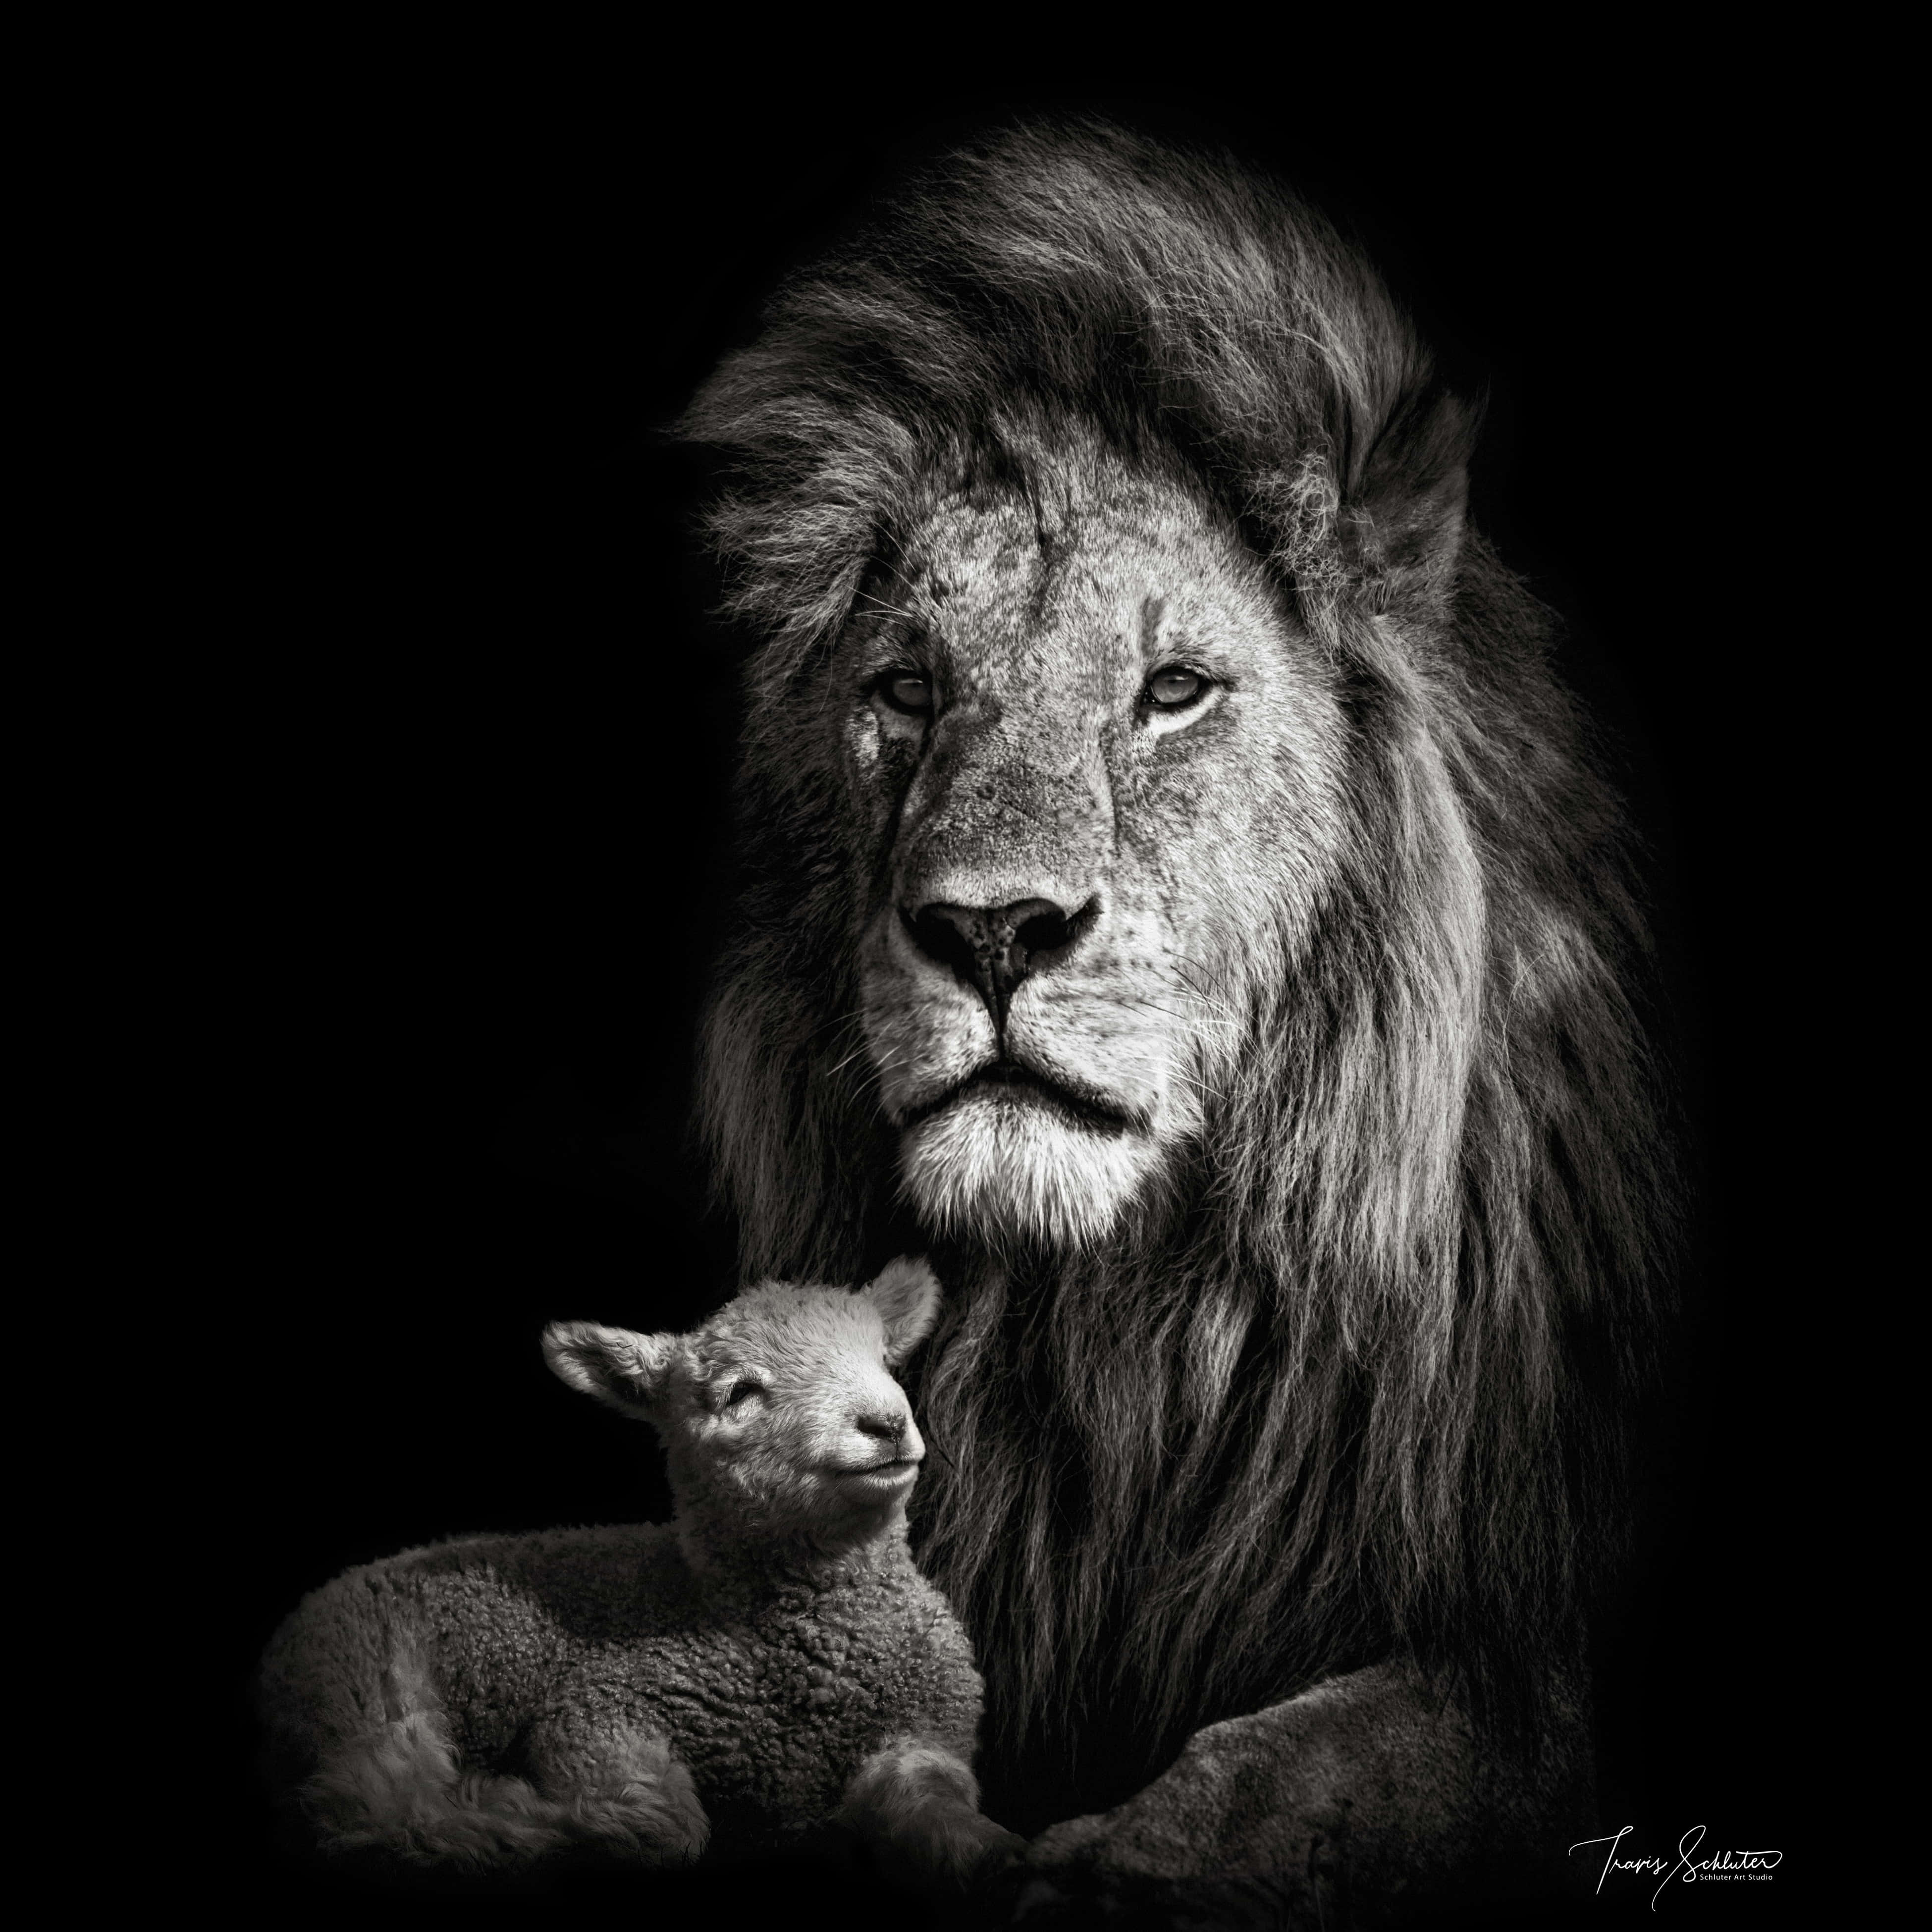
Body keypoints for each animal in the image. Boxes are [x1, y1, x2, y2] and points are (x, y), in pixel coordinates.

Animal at [677, 120, 1672, 1922]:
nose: (990, 929)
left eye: (1173, 691)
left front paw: (1096, 1871)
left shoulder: (1519, 1663)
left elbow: (1283, 1780)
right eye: (906, 689)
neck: (1123, 1342)